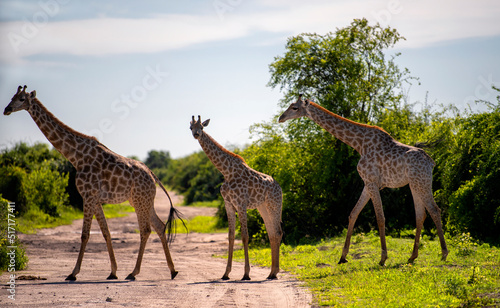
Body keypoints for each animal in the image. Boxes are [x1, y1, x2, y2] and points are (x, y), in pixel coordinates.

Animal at [3, 85, 185, 280]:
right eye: (12, 96)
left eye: (22, 99)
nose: (6, 109)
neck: (76, 157)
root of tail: (152, 175)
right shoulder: (95, 199)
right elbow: (106, 232)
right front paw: (113, 271)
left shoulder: (88, 196)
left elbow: (85, 235)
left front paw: (73, 273)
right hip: (144, 201)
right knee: (159, 226)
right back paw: (172, 270)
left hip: (139, 201)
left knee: (145, 230)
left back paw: (133, 272)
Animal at [188, 115, 282, 280]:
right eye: (190, 127)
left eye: (202, 127)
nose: (196, 134)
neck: (226, 171)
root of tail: (280, 189)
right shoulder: (229, 204)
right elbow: (231, 236)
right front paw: (226, 273)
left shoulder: (241, 204)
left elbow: (244, 235)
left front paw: (246, 274)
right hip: (263, 207)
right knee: (272, 234)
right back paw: (271, 273)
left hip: (274, 205)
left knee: (278, 232)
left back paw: (274, 272)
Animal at [278, 95, 450, 266]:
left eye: (294, 108)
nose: (281, 118)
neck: (359, 144)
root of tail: (431, 162)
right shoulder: (368, 183)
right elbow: (353, 213)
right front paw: (343, 257)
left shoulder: (372, 181)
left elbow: (380, 218)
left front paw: (383, 258)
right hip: (414, 184)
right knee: (421, 214)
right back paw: (412, 256)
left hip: (422, 181)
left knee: (434, 210)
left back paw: (444, 253)